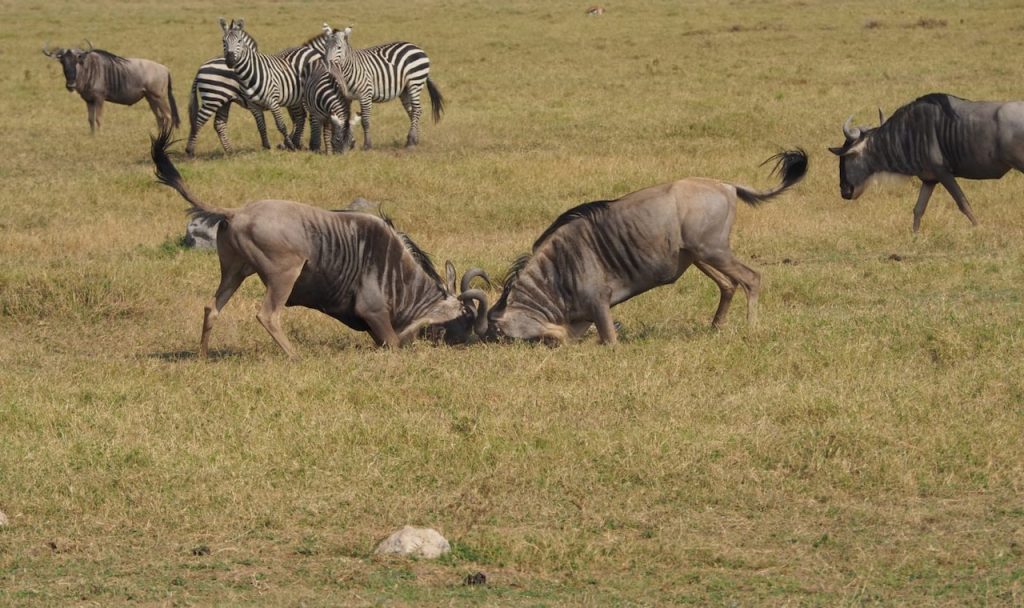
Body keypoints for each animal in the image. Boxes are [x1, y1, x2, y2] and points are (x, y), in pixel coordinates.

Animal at [219, 17, 319, 150]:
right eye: (223, 41)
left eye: (239, 41)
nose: (230, 60)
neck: (249, 75)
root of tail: (308, 49)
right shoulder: (253, 106)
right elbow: (261, 126)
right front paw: (267, 147)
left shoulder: (273, 102)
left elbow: (281, 125)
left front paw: (289, 145)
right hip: (296, 97)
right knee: (300, 116)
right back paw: (297, 142)